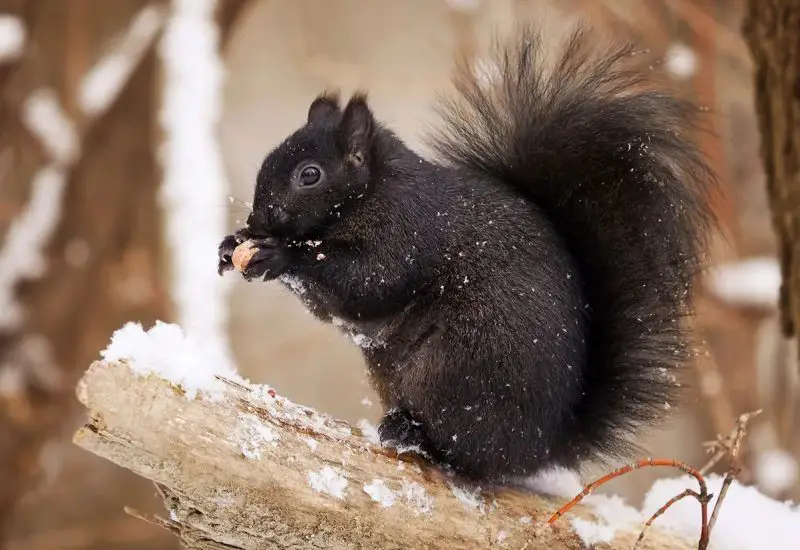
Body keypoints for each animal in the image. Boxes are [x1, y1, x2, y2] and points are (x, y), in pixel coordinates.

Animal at [218, 24, 717, 483]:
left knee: (470, 457)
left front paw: (281, 254)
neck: (371, 193)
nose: (260, 218)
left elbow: (367, 282)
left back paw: (417, 437)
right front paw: (233, 245)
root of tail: (539, 449)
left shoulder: (408, 231)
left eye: (310, 174)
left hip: (459, 373)